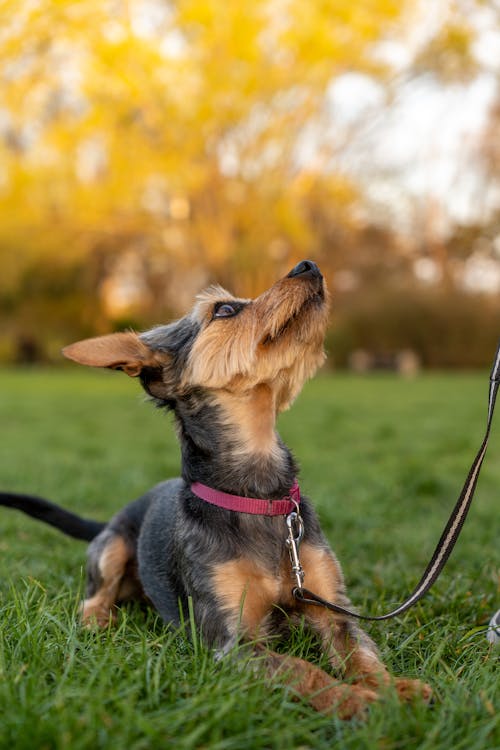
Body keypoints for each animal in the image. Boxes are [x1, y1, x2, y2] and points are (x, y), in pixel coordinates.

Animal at [0, 262, 430, 720]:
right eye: (224, 309)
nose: (308, 265)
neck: (258, 495)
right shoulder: (232, 643)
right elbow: (302, 670)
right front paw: (356, 701)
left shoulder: (331, 608)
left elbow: (360, 654)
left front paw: (394, 691)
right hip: (110, 546)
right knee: (93, 596)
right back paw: (97, 622)